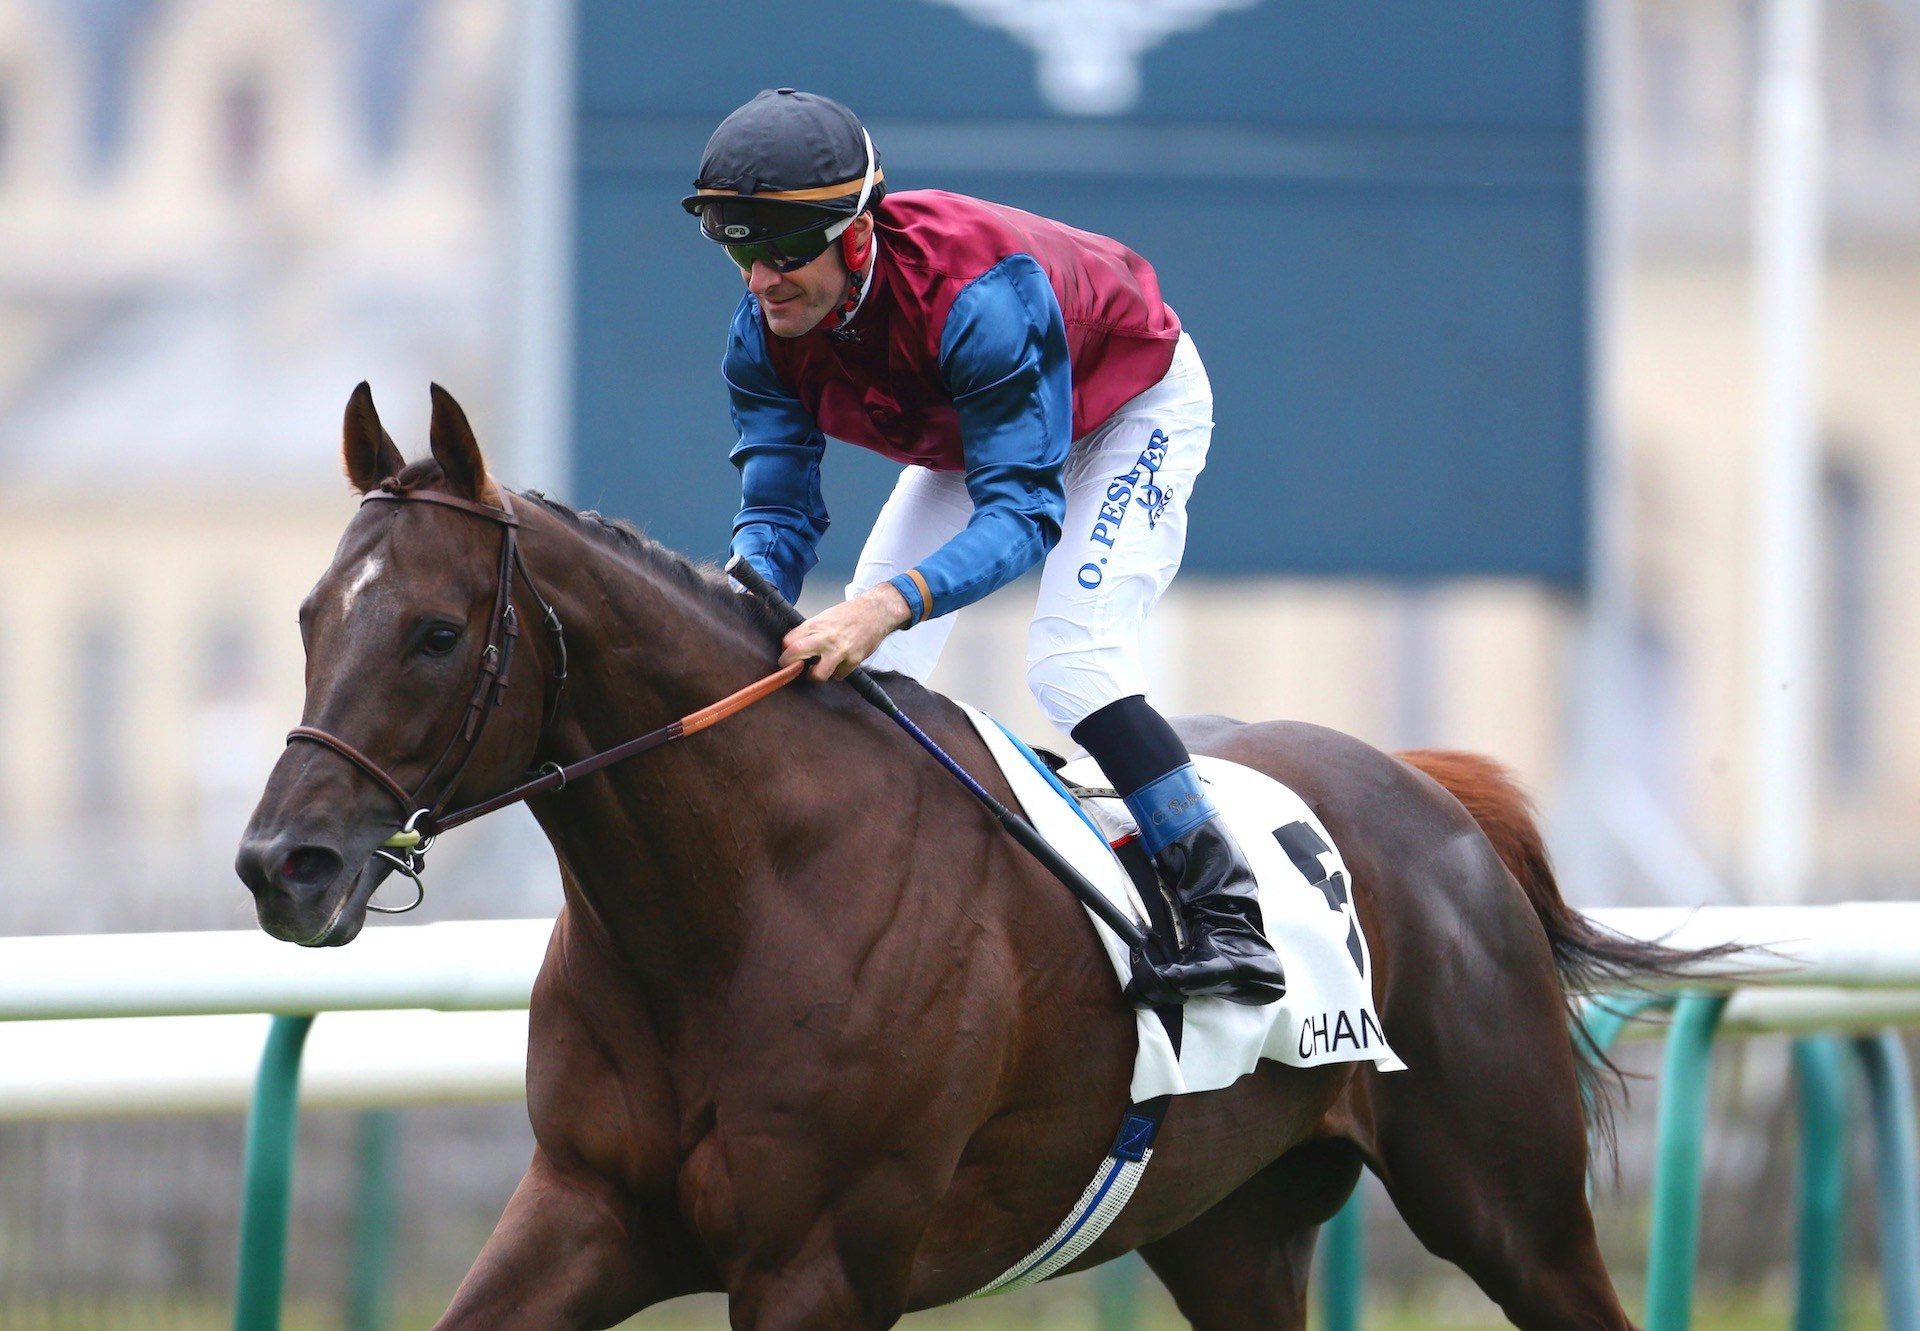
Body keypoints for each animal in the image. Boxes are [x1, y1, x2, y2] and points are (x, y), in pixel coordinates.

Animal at [237, 383, 1710, 1330]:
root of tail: (1436, 794)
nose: (279, 863)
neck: (740, 904)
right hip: (1229, 1226)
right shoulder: (587, 1208)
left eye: (434, 632)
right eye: (308, 614)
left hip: (1505, 1198)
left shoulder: (821, 1260)